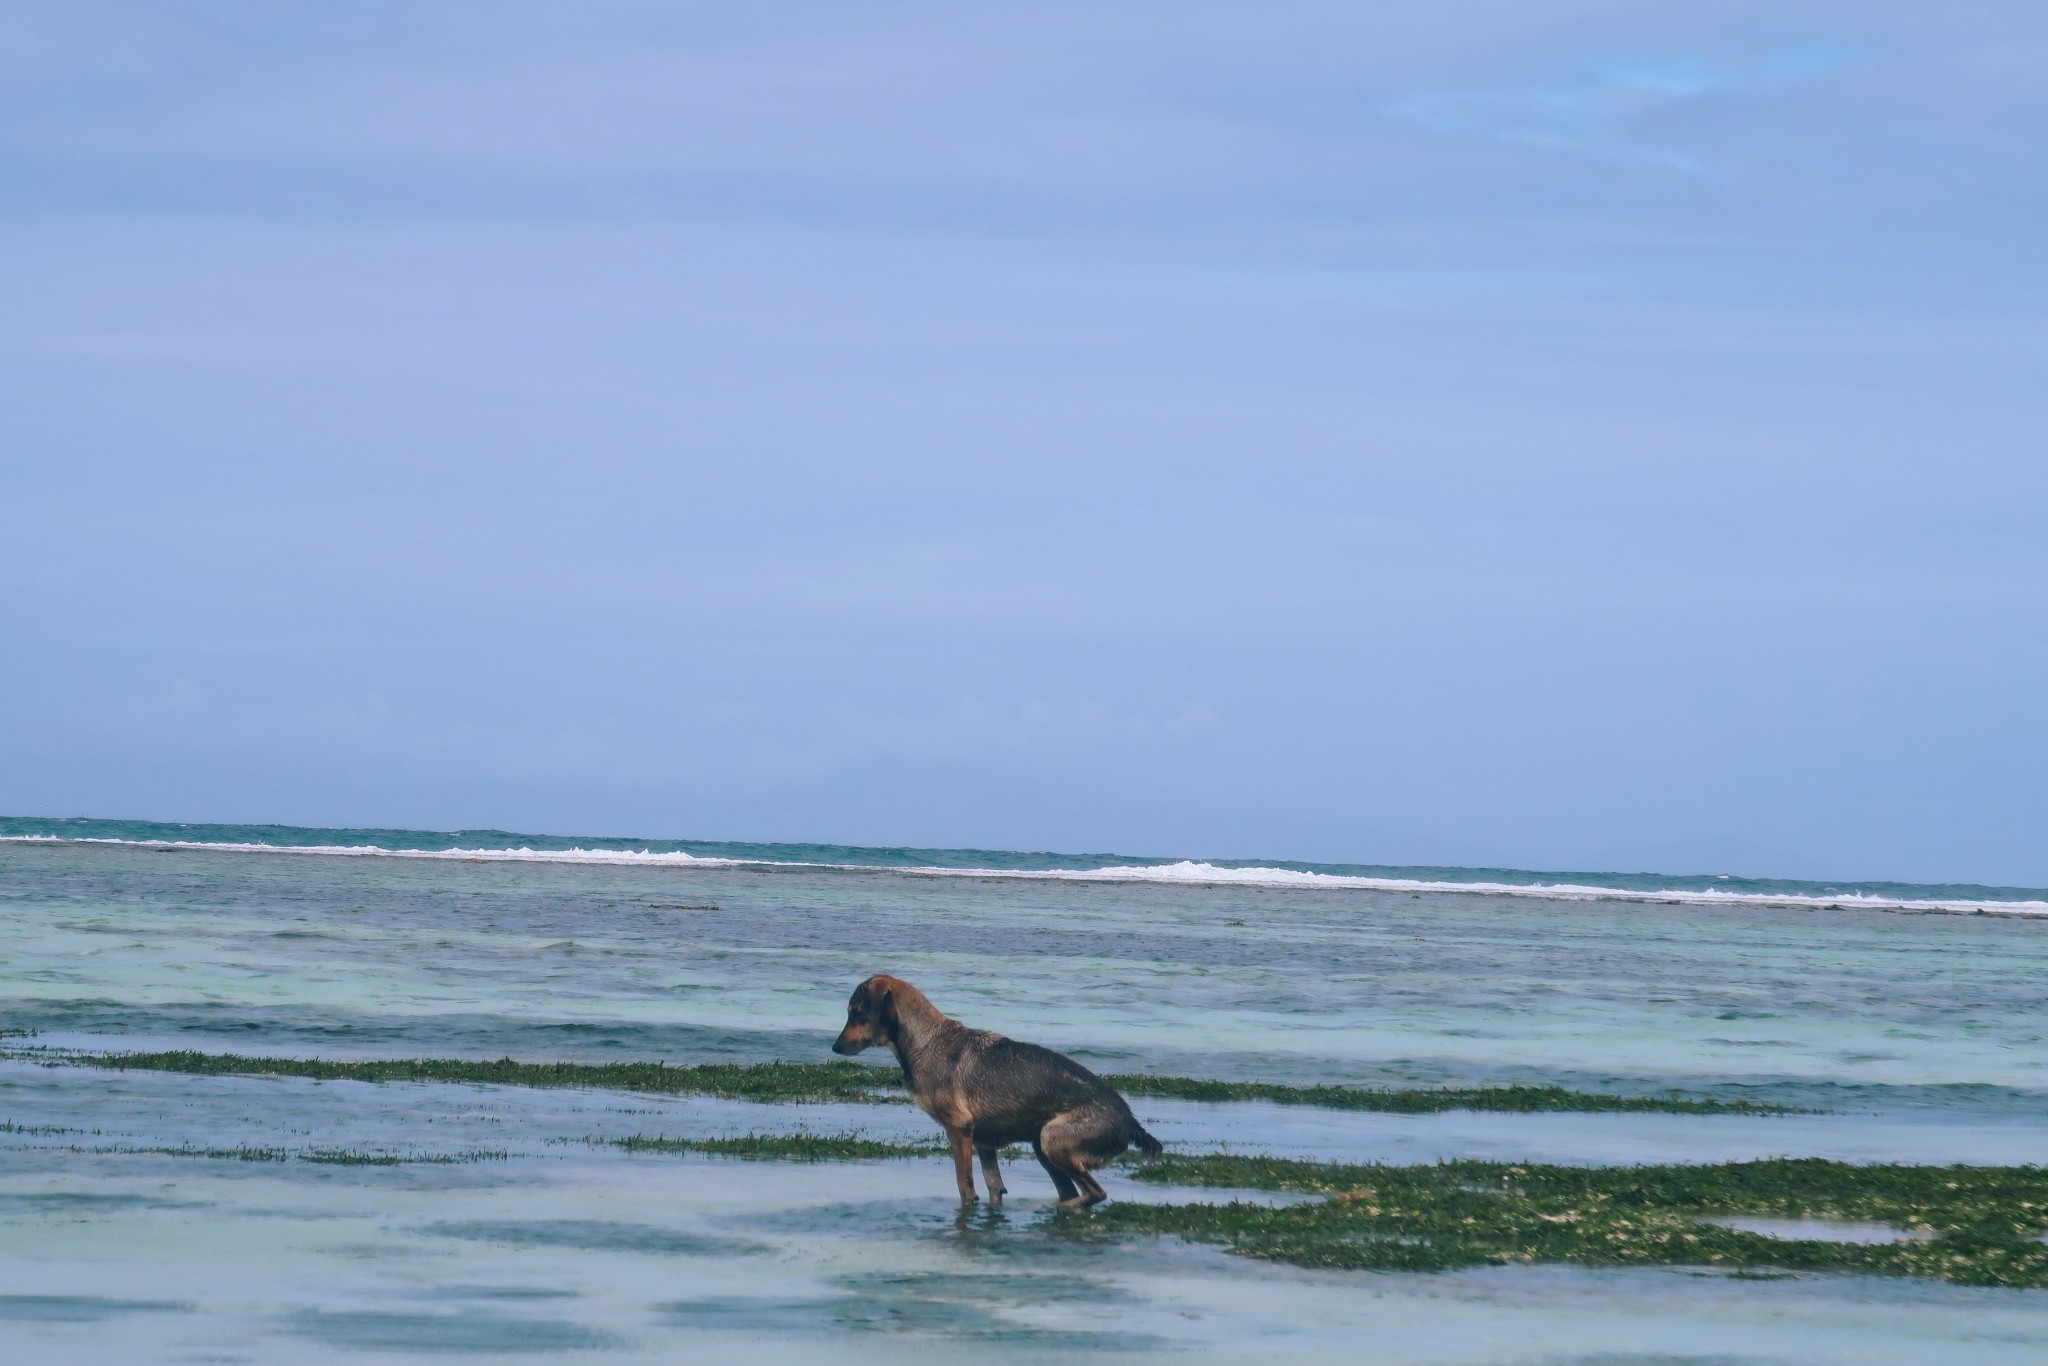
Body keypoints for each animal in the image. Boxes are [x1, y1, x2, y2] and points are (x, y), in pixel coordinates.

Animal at [827, 970, 1155, 1204]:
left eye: (856, 1012)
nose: (835, 1047)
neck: (925, 1039)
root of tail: (1129, 1121)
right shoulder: (985, 1145)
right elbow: (994, 1188)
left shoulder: (960, 1129)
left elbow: (964, 1185)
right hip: (1043, 1148)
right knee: (1078, 1193)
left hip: (1052, 1139)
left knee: (1095, 1193)